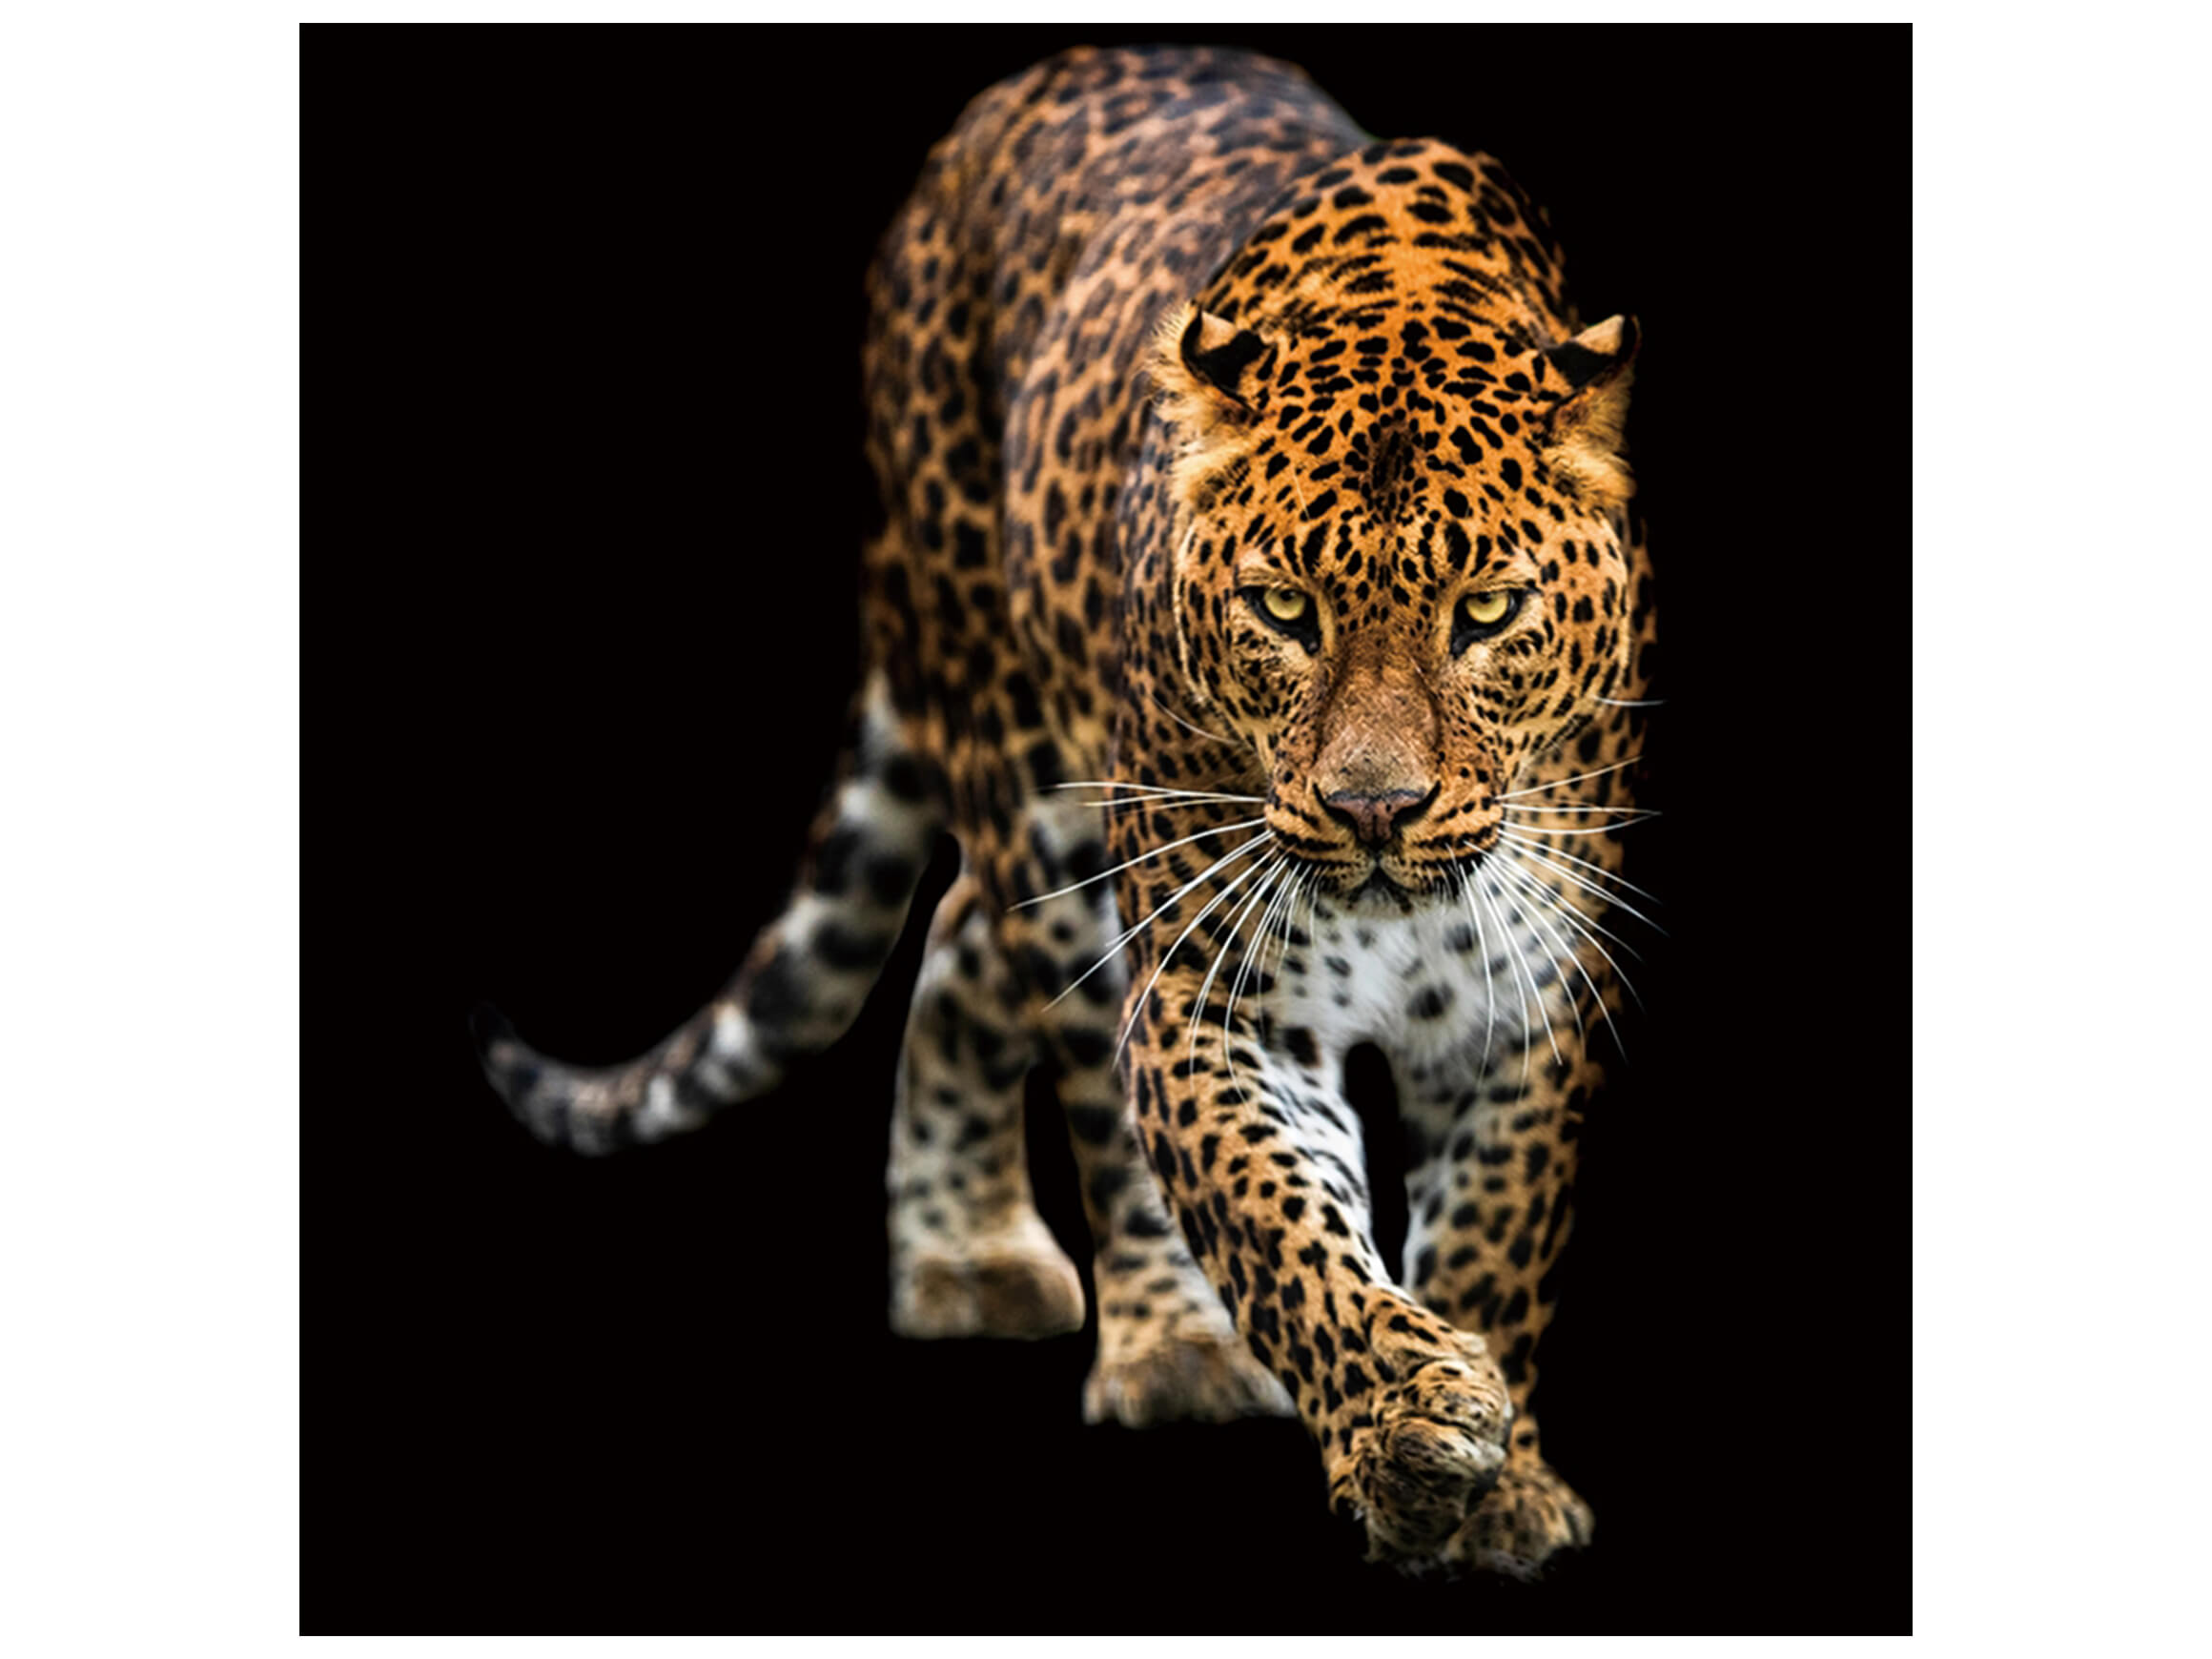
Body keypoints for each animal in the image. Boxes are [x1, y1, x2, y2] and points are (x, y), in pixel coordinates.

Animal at [472, 43, 1654, 1579]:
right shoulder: (1216, 995)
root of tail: (1042, 73)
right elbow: (1279, 1223)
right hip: (1040, 784)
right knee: (1075, 1054)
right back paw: (1164, 1344)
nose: (1376, 810)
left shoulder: (1530, 1002)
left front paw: (1497, 1483)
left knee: (961, 937)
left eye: (1490, 612)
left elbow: (1499, 1235)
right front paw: (1405, 1423)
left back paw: (963, 1255)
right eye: (1285, 611)